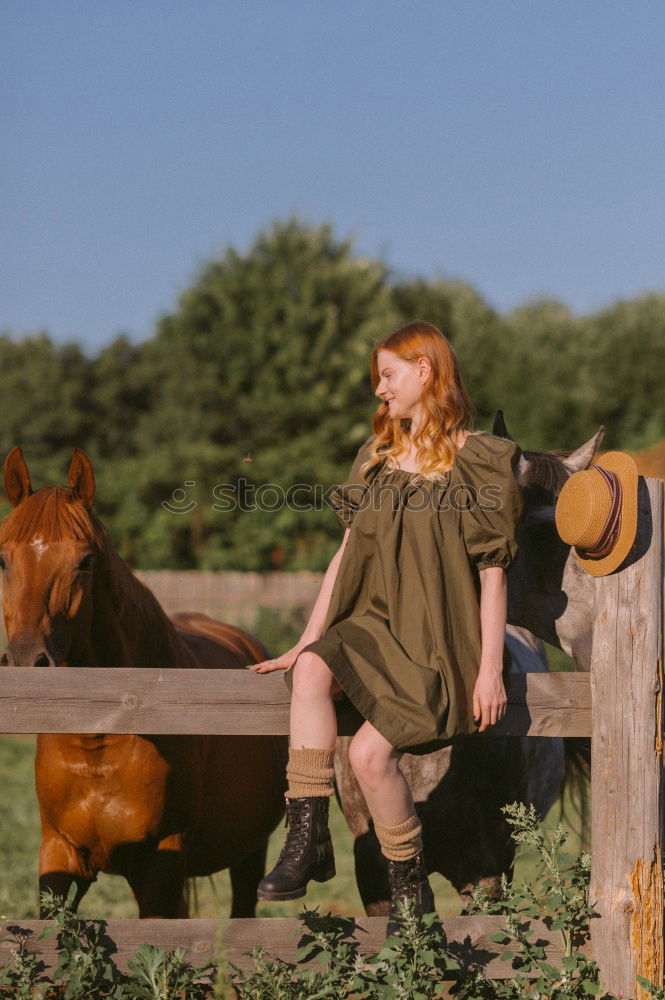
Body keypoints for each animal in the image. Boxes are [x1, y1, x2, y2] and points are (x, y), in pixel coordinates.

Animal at [0, 450, 288, 916]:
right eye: (3, 560)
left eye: (85, 562)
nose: (28, 661)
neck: (100, 742)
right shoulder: (59, 856)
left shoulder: (160, 864)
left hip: (248, 852)